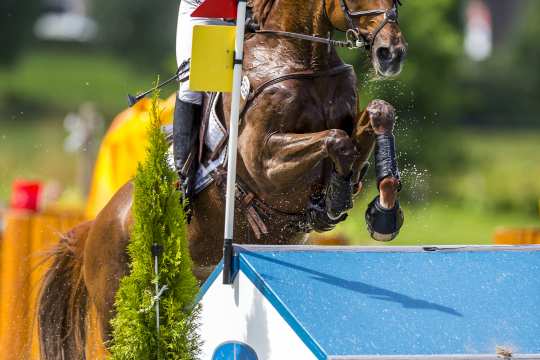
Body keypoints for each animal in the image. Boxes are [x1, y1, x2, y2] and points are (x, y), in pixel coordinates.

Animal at [39, 0, 404, 358]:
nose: (392, 53)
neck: (302, 60)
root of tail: (95, 226)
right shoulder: (264, 164)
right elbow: (335, 140)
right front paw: (337, 199)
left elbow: (378, 114)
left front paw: (382, 210)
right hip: (116, 314)